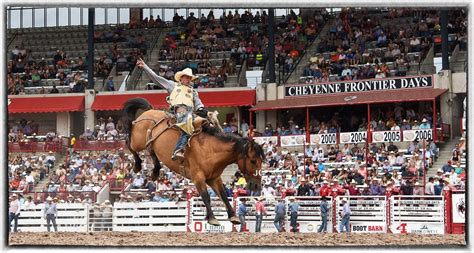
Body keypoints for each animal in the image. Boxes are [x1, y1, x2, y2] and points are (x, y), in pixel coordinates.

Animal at [122, 98, 264, 225]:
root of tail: (148, 111)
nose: (257, 186)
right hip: (137, 142)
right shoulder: (198, 177)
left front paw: (233, 216)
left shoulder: (214, 178)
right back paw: (137, 166)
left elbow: (223, 195)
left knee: (151, 151)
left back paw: (155, 172)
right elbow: (206, 196)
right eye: (253, 161)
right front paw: (212, 218)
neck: (210, 149)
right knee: (129, 144)